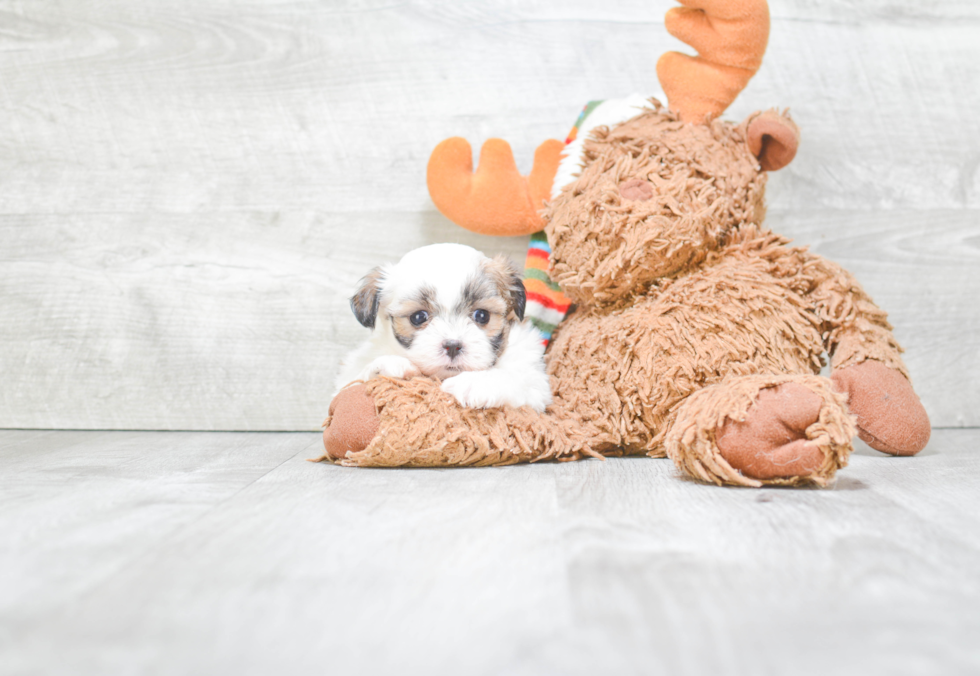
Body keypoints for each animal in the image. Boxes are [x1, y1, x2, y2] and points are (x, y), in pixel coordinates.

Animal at [334, 243, 552, 412]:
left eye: (482, 315)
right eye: (418, 317)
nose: (453, 346)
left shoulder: (535, 385)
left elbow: (515, 379)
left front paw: (475, 383)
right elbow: (351, 383)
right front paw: (387, 365)